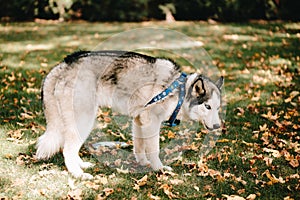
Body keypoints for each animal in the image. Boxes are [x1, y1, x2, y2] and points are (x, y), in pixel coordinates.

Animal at [36, 50, 224, 179]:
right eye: (207, 106)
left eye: (217, 108)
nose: (217, 126)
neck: (179, 92)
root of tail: (63, 65)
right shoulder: (151, 123)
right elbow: (154, 150)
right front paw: (159, 169)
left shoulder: (139, 121)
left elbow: (139, 147)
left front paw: (143, 163)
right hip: (84, 120)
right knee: (68, 150)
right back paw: (78, 174)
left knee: (72, 149)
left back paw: (82, 165)